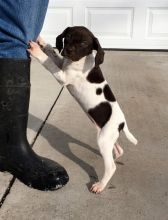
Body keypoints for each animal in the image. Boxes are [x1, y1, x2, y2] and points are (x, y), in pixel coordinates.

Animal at [27, 26, 138, 193]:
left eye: (84, 43)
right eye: (68, 37)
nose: (68, 50)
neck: (79, 61)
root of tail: (122, 123)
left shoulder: (63, 76)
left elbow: (48, 62)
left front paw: (36, 50)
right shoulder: (62, 63)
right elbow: (52, 53)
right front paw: (42, 42)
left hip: (104, 138)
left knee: (111, 167)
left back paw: (100, 185)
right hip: (105, 134)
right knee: (118, 149)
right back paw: (115, 155)